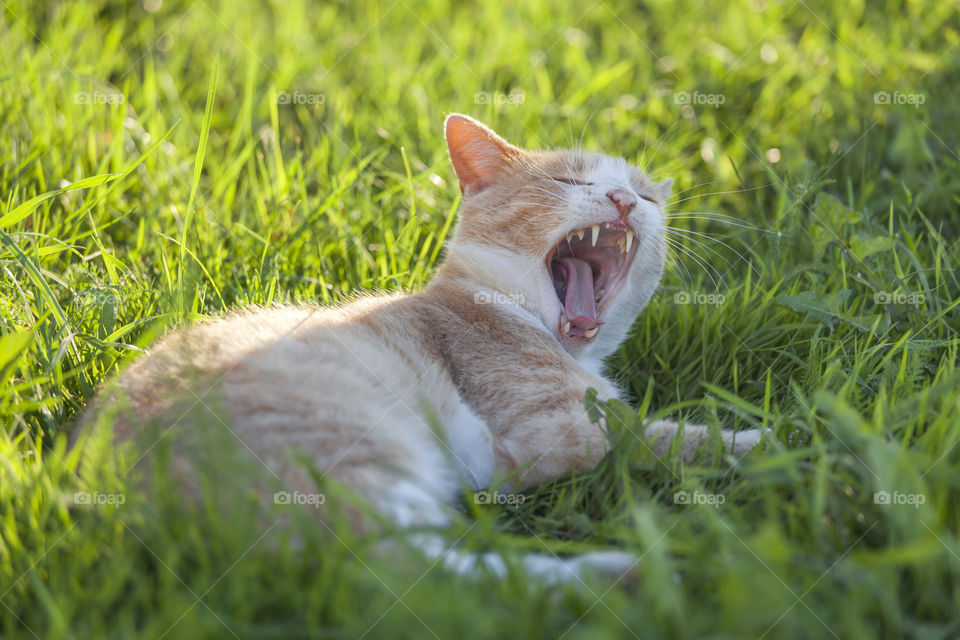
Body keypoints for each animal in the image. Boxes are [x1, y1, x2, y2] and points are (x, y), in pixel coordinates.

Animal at [75, 112, 760, 584]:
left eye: (644, 194)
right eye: (568, 179)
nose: (621, 200)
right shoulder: (562, 428)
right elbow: (683, 439)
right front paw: (771, 442)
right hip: (363, 445)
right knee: (418, 576)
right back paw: (620, 575)